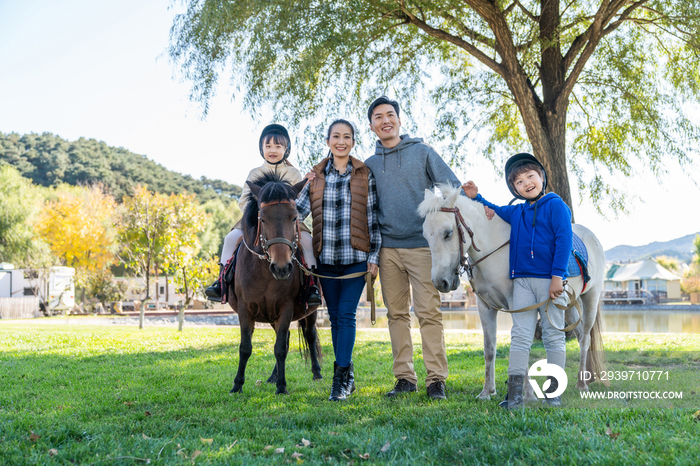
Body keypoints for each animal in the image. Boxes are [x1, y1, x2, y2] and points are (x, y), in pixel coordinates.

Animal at [230, 173, 322, 396]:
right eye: (262, 218)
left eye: (294, 217)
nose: (281, 267)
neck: (264, 272)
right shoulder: (245, 308)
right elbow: (245, 347)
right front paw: (237, 385)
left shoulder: (286, 307)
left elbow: (280, 348)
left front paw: (282, 387)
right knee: (287, 338)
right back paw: (273, 376)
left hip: (310, 312)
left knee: (310, 336)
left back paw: (316, 372)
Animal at [422, 184, 608, 398]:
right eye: (425, 236)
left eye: (448, 233)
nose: (440, 282)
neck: (496, 252)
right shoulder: (485, 307)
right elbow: (489, 348)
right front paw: (487, 391)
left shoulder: (518, 305)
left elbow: (520, 346)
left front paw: (526, 394)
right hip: (567, 306)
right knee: (578, 335)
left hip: (590, 299)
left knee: (585, 338)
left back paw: (581, 384)